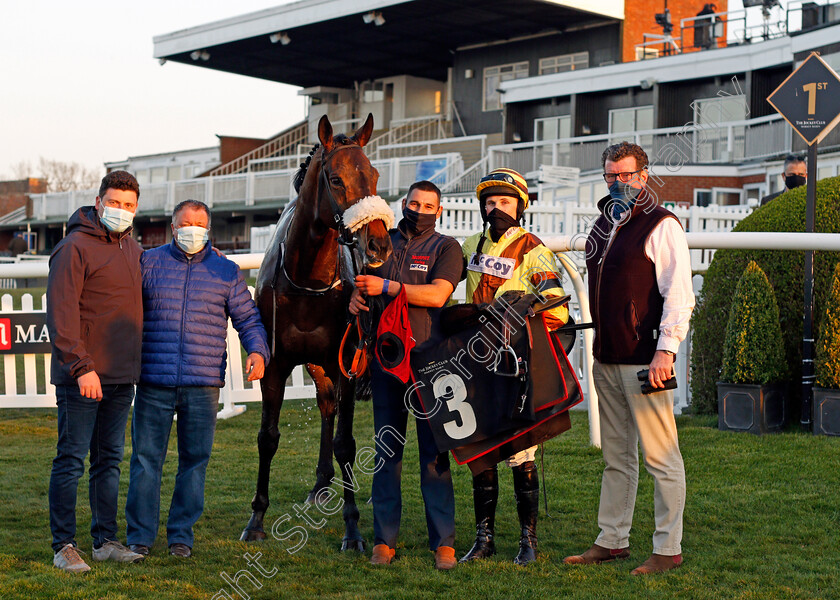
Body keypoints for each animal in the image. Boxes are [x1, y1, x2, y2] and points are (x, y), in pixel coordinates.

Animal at [240, 111, 390, 548]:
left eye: (374, 175)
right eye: (336, 179)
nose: (378, 245)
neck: (307, 280)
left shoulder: (347, 361)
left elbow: (346, 442)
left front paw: (353, 527)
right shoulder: (274, 365)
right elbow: (268, 437)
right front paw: (256, 519)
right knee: (325, 405)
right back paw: (321, 484)